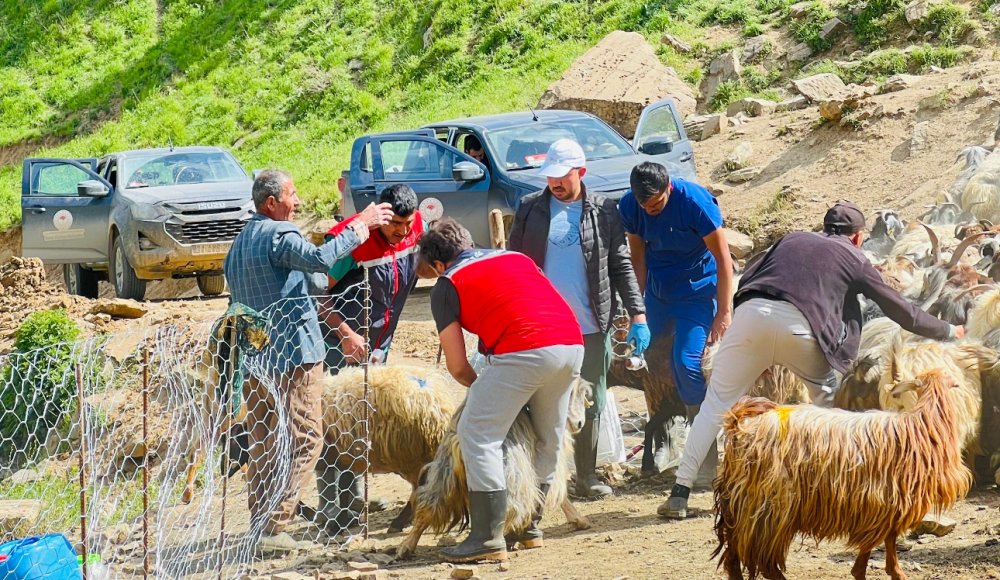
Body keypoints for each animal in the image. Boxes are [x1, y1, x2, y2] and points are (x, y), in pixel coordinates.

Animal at [396, 377, 593, 559]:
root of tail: (459, 442)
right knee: (510, 509)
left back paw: (406, 547)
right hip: (511, 475)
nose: (579, 423)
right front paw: (579, 520)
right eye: (572, 393)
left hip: (443, 477)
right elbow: (556, 492)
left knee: (428, 506)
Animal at [712, 369, 972, 580]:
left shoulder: (888, 505)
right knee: (764, 562)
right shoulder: (883, 501)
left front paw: (893, 571)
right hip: (769, 508)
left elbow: (888, 539)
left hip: (740, 506)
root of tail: (740, 426)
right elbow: (877, 541)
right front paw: (868, 571)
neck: (924, 423)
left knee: (733, 556)